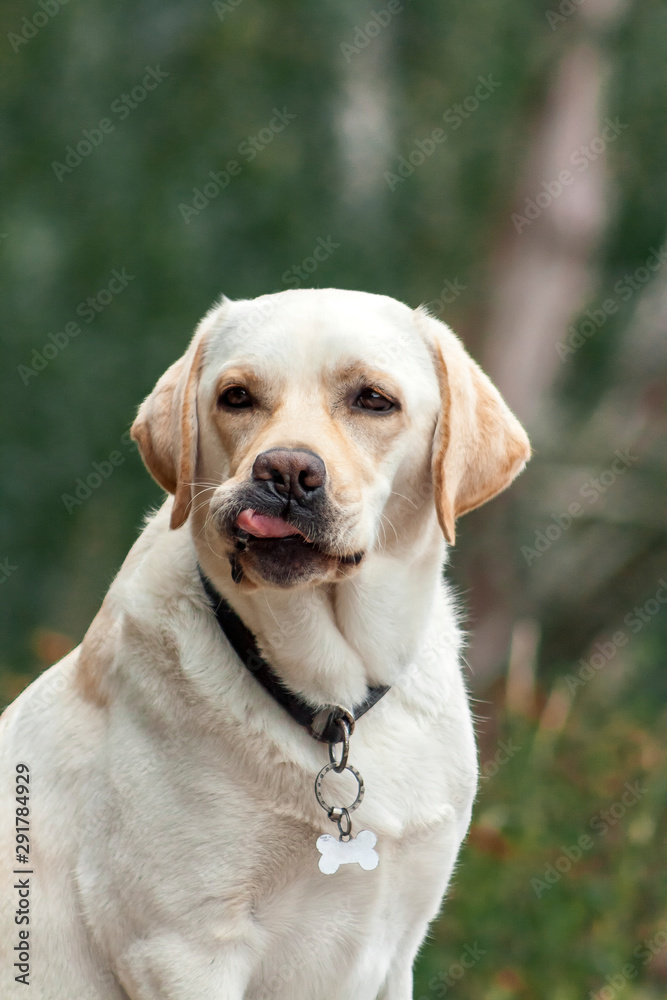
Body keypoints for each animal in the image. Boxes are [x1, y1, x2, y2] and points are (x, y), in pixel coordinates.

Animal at [1, 292, 532, 1000]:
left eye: (373, 399)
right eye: (237, 397)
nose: (285, 471)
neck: (332, 700)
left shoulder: (398, 943)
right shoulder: (182, 947)